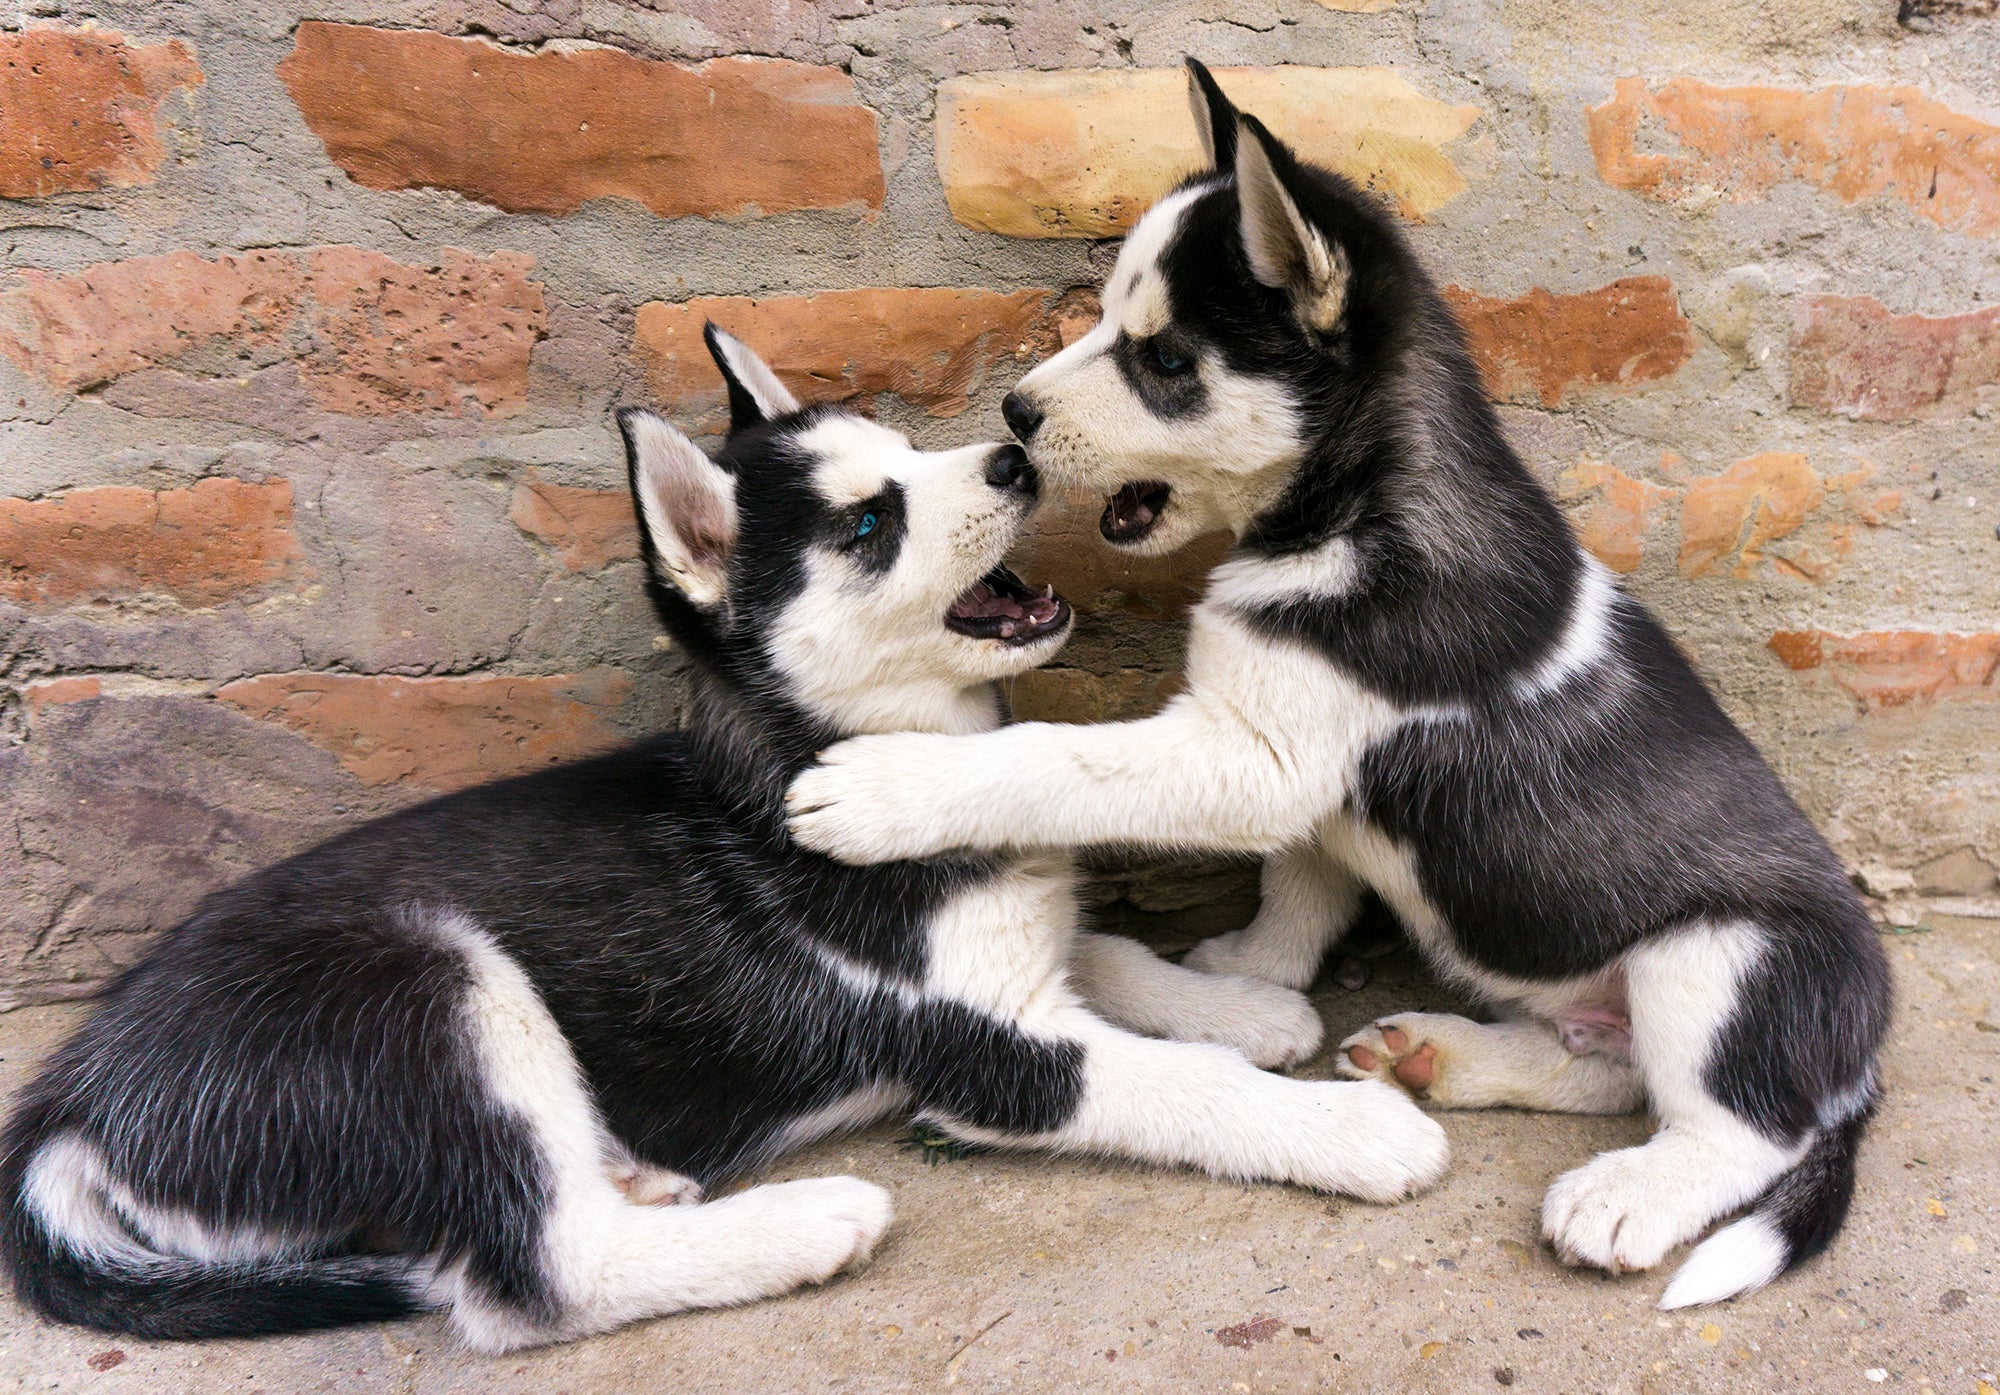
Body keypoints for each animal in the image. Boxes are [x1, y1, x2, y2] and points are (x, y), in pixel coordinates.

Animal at [0, 325, 1440, 1351]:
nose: (1016, 456)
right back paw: (803, 1221)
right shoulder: (989, 1051)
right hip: (432, 983)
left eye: (908, 453)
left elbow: (1112, 953)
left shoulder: (1007, 955)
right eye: (869, 524)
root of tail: (72, 1103)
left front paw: (1239, 1000)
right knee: (537, 1277)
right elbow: (1183, 1085)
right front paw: (1351, 1126)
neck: (830, 748)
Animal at [784, 62, 1888, 1303]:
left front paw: (883, 788)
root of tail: (1857, 1063)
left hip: (1720, 960)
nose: (1015, 416)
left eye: (1164, 360)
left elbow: (1052, 758)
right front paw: (1250, 978)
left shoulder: (1257, 754)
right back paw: (1438, 1058)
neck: (1351, 510)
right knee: (1615, 1074)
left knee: (1734, 1127)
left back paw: (1622, 1200)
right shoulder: (1297, 772)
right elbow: (1297, 885)